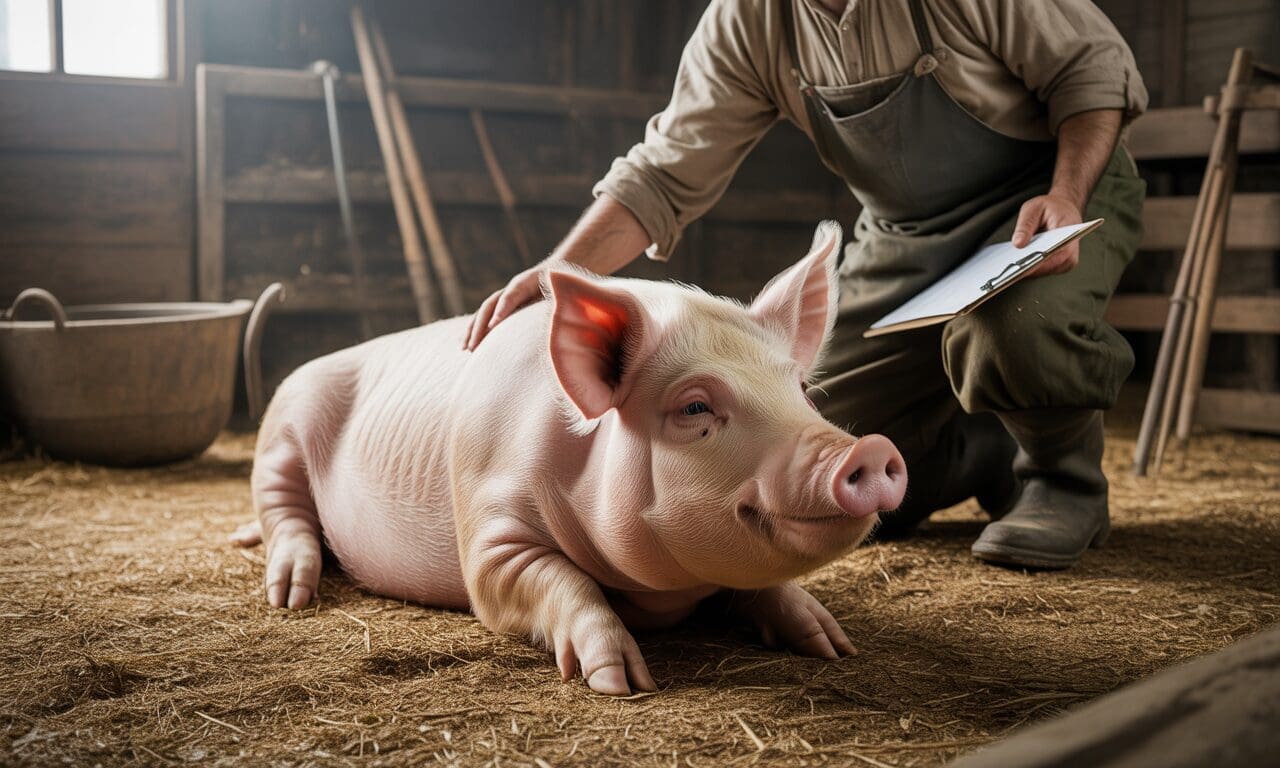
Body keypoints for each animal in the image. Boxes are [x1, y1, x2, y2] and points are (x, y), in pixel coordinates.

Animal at [233, 221, 907, 695]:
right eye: (694, 407)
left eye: (800, 390)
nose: (869, 449)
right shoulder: (488, 536)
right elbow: (557, 581)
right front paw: (621, 682)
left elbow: (767, 587)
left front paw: (832, 644)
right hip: (283, 428)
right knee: (283, 514)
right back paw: (291, 595)